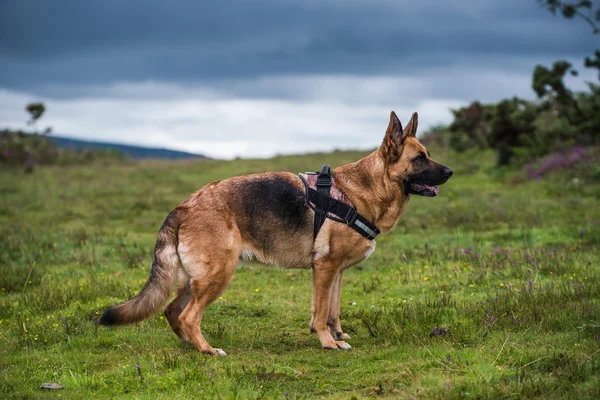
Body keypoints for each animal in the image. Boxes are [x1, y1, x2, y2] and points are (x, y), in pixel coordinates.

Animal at [101, 111, 452, 354]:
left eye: (428, 154)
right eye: (419, 158)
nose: (450, 171)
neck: (362, 190)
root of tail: (182, 207)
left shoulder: (336, 272)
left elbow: (334, 309)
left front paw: (338, 335)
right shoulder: (324, 268)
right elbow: (321, 312)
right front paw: (328, 342)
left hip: (196, 278)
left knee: (172, 310)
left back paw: (190, 345)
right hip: (218, 274)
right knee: (188, 315)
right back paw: (207, 350)